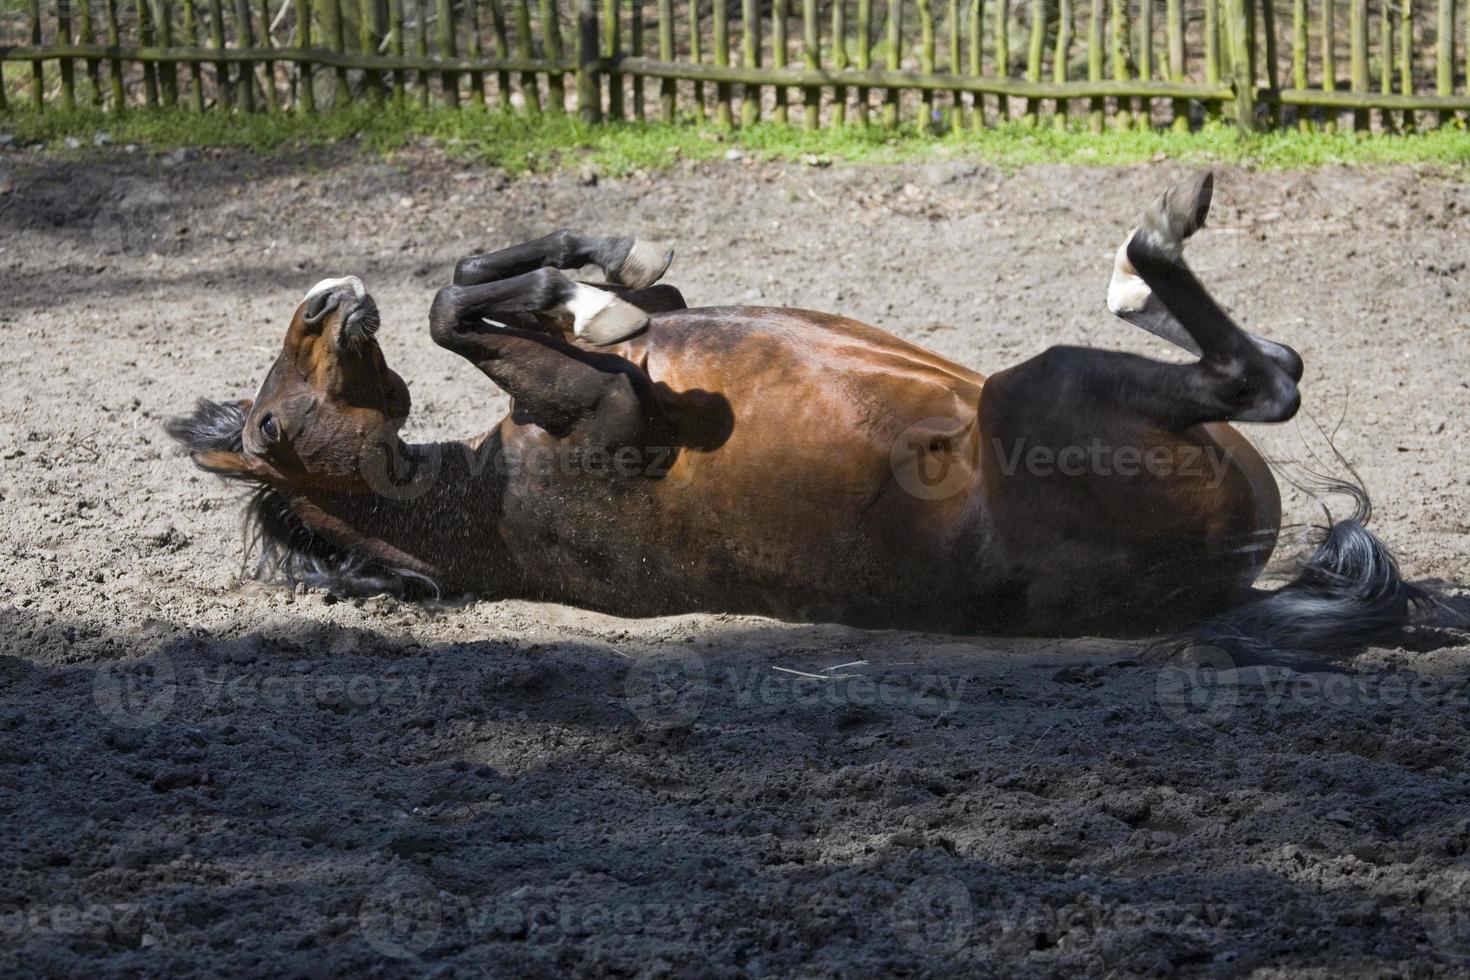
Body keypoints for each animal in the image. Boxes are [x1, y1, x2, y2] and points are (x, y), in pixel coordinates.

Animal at [166, 173, 1417, 655]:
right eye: (269, 430)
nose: (327, 300)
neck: (488, 503)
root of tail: (1219, 583)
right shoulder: (610, 414)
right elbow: (453, 312)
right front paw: (597, 289)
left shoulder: (640, 350)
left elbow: (486, 284)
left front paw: (600, 266)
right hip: (1051, 387)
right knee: (1268, 376)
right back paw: (1147, 247)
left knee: (1273, 362)